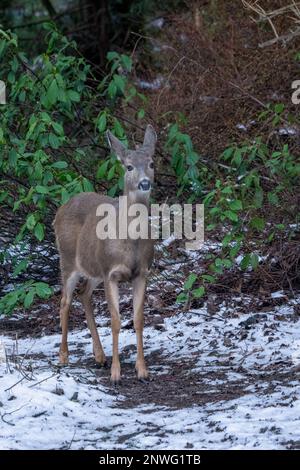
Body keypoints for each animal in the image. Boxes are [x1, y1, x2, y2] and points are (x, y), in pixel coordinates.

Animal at [53, 125, 157, 382]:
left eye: (151, 163)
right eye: (128, 166)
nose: (144, 183)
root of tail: (61, 209)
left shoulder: (141, 273)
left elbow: (138, 320)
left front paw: (142, 371)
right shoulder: (111, 272)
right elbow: (116, 321)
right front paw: (116, 374)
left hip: (93, 269)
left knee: (84, 294)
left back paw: (99, 356)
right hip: (67, 260)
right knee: (65, 301)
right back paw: (63, 356)